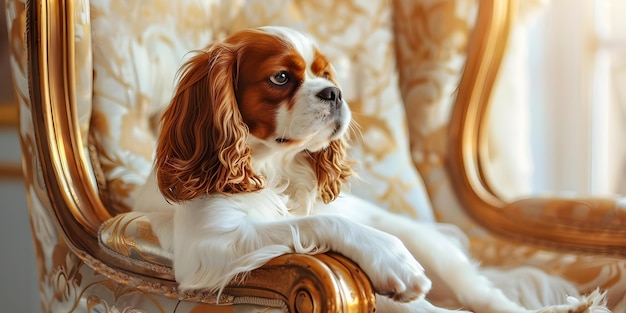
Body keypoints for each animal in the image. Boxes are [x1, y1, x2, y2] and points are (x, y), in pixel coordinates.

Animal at [134, 25, 608, 310]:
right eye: (281, 78)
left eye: (326, 74)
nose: (335, 93)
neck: (274, 168)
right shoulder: (207, 247)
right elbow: (317, 223)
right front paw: (390, 259)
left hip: (440, 253)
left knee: (486, 299)